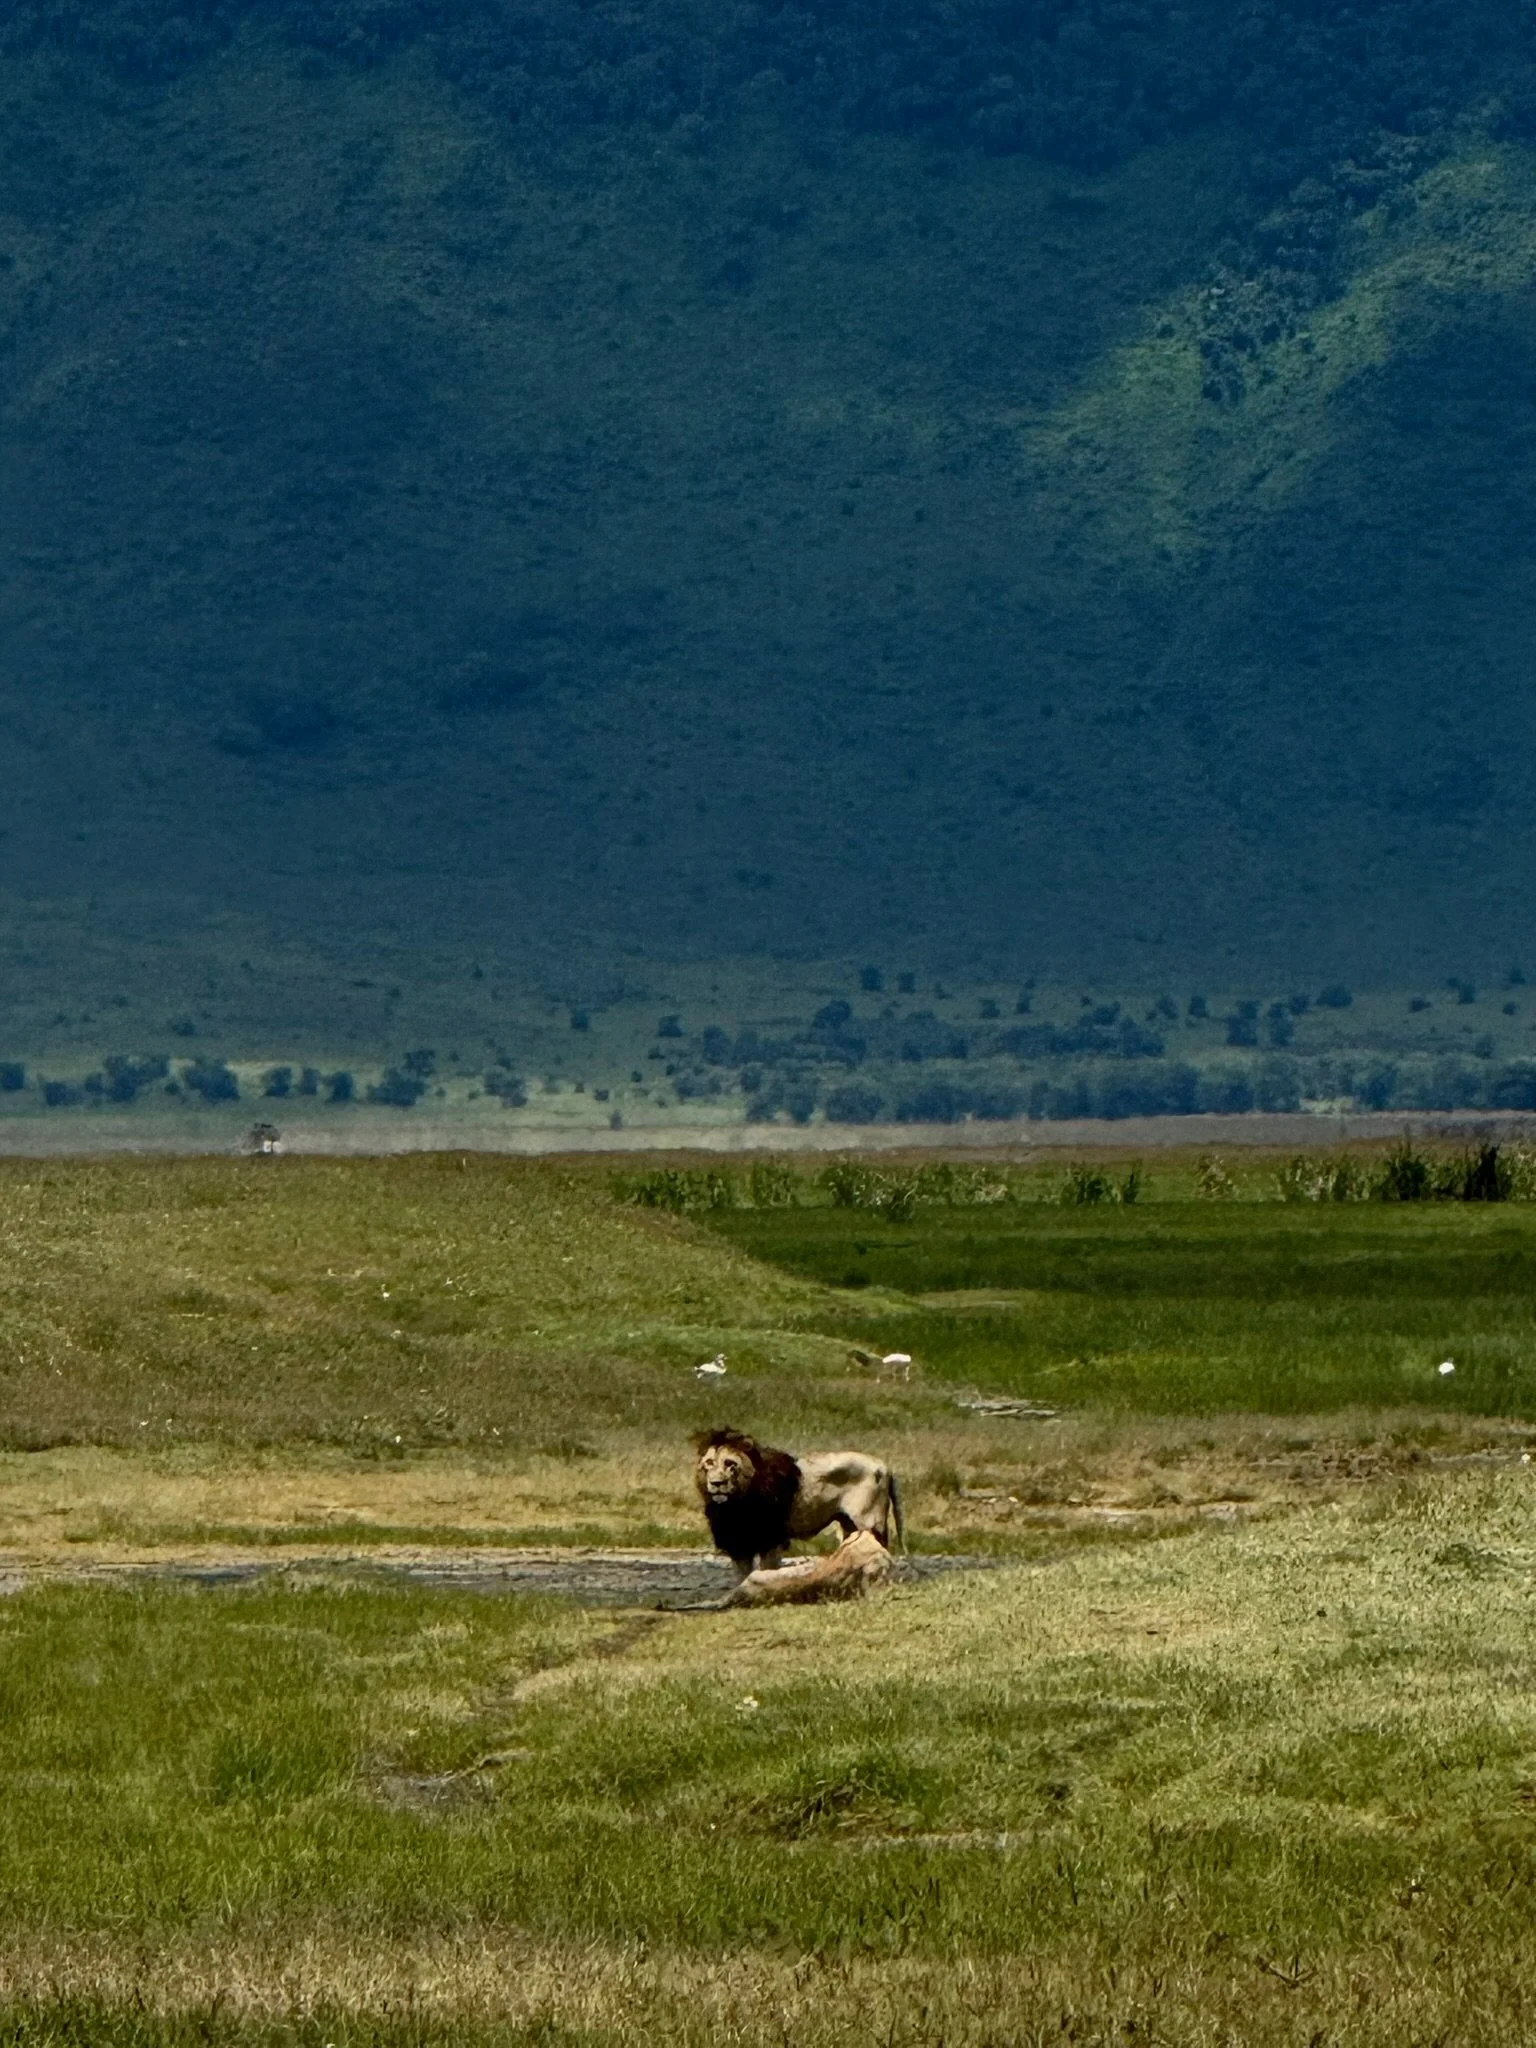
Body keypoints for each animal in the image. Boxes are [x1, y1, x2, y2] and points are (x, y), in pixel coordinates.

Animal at [693, 1426, 904, 1581]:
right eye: (709, 1463)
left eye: (730, 1463)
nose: (716, 1483)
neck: (734, 1504)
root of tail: (884, 1466)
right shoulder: (737, 1543)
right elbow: (741, 1577)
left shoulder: (771, 1540)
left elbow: (766, 1571)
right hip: (849, 1526)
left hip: (869, 1522)